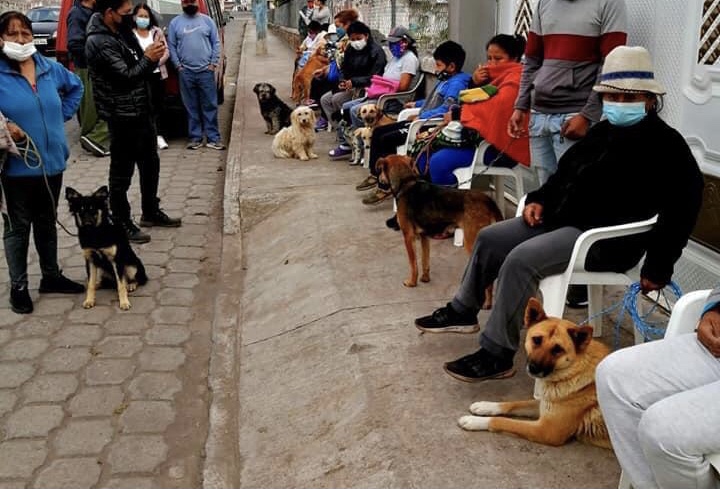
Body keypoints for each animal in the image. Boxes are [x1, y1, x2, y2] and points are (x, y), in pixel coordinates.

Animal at [374, 155, 504, 294]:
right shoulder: (424, 237)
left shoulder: (408, 237)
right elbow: (425, 260)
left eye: (380, 170)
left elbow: (413, 263)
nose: (379, 182)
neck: (405, 183)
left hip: (472, 241)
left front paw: (412, 282)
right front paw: (425, 278)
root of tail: (488, 200)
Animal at [458, 296, 612, 448]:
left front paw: (473, 421)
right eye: (537, 340)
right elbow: (514, 404)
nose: (534, 368)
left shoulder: (546, 430)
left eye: (558, 350)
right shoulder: (544, 405)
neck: (573, 372)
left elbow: (503, 421)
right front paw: (485, 406)